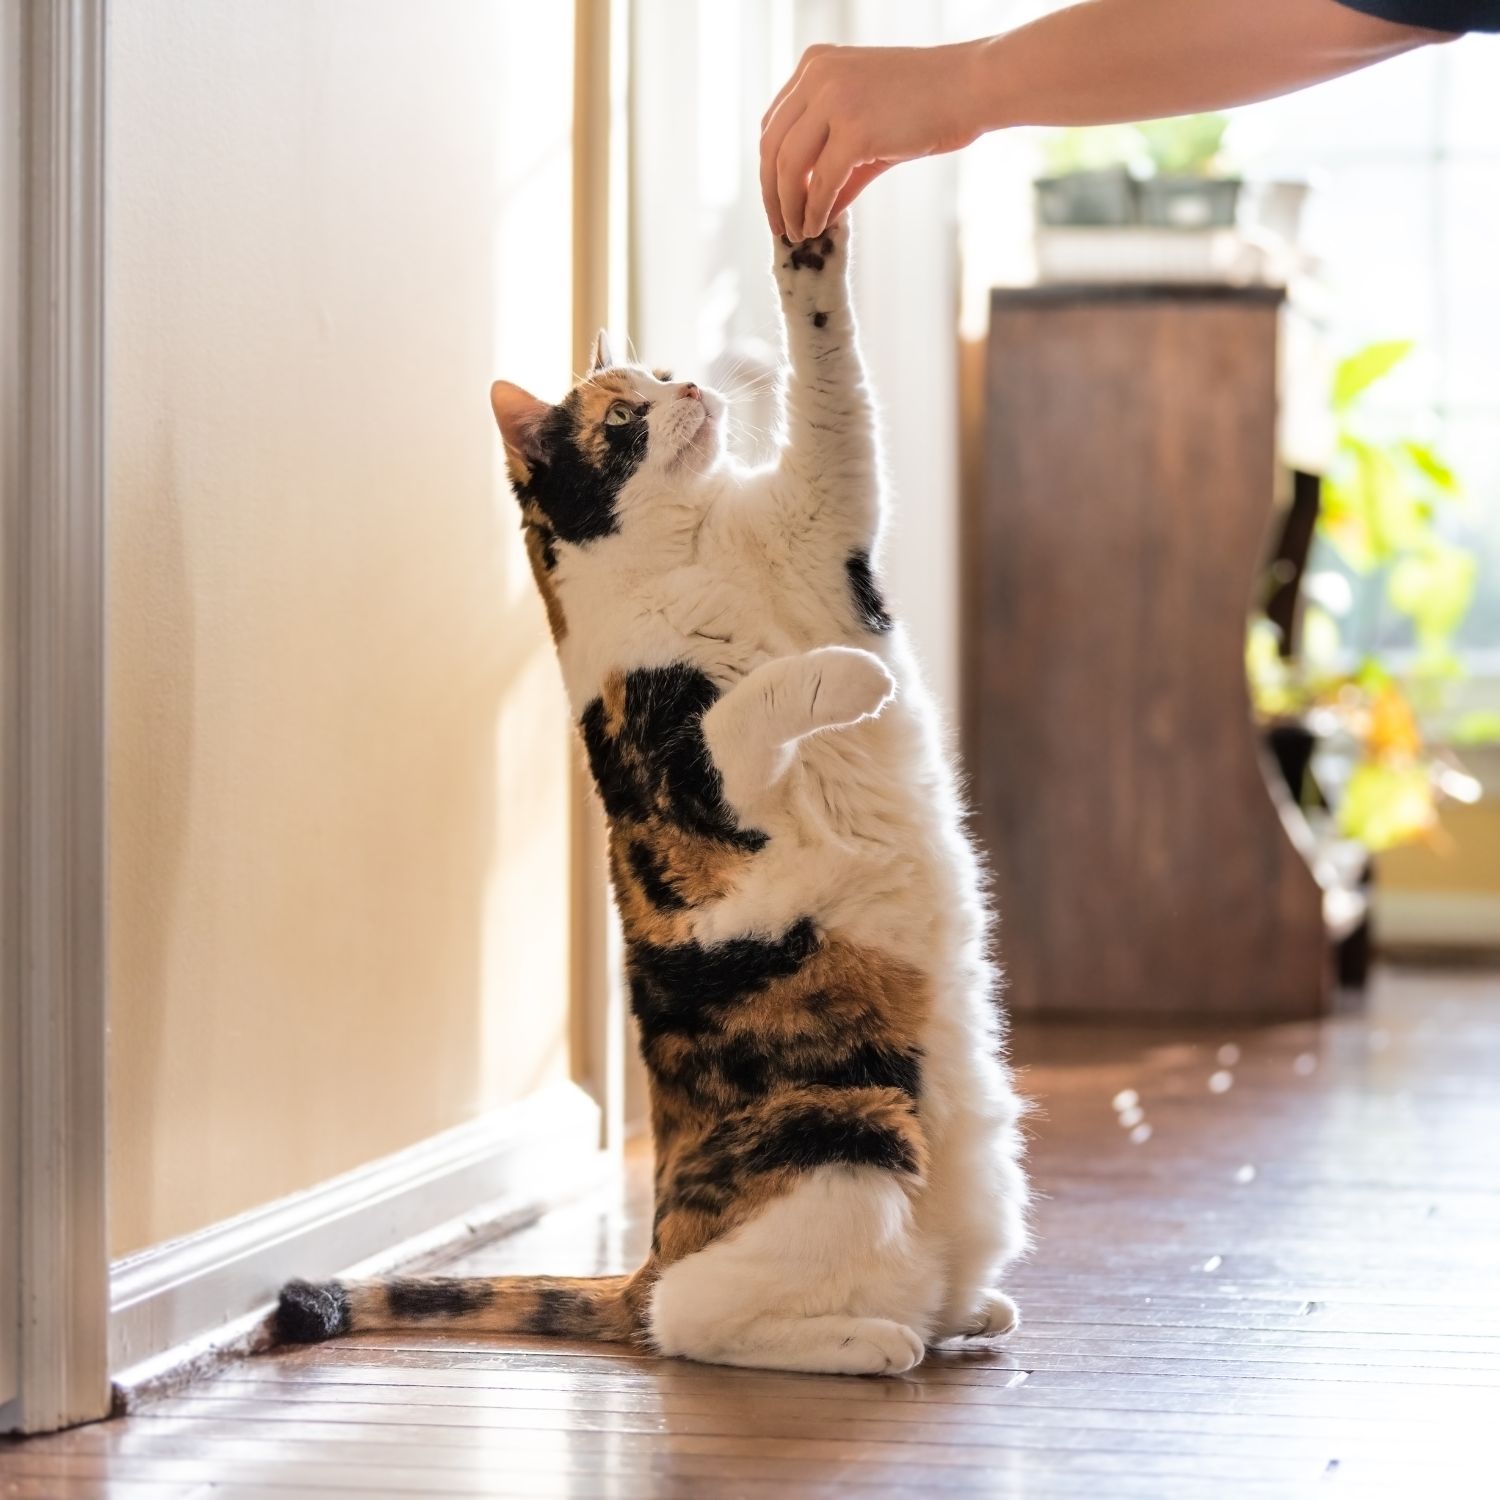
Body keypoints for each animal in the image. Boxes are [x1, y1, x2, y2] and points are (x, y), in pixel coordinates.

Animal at [273, 217, 1032, 1374]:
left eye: (666, 371)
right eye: (624, 415)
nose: (693, 390)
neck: (698, 547)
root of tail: (653, 1247)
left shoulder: (824, 510)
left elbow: (831, 383)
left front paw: (809, 247)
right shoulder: (683, 785)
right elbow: (752, 705)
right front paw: (851, 679)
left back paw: (968, 1316)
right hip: (845, 1131)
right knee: (695, 1322)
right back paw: (871, 1342)